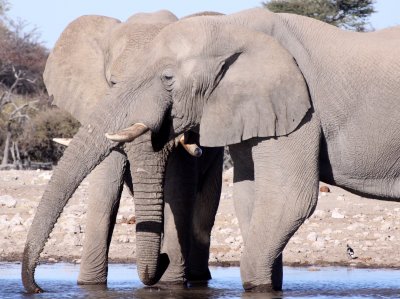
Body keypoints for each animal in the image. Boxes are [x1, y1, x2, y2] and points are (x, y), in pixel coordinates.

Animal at [21, 9, 223, 296]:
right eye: (114, 83)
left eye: (170, 82)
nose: (37, 288)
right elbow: (106, 186)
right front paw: (90, 285)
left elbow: (180, 187)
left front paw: (171, 284)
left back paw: (195, 277)